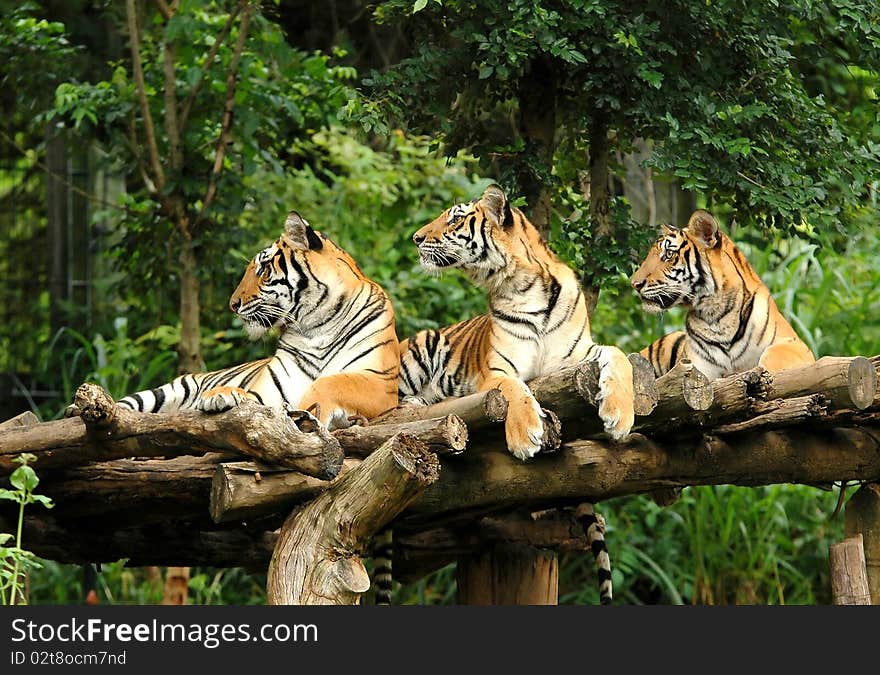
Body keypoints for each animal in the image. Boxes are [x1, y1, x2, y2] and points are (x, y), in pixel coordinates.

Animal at [113, 211, 398, 428]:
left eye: (263, 268)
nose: (232, 304)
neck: (316, 325)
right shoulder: (272, 388)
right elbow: (253, 398)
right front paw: (220, 394)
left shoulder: (380, 382)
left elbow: (330, 382)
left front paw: (309, 412)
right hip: (164, 392)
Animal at [398, 185, 632, 608]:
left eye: (455, 218)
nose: (416, 238)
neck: (522, 286)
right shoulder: (496, 371)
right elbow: (515, 390)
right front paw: (525, 435)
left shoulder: (578, 356)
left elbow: (618, 355)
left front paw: (620, 415)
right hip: (421, 347)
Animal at [628, 210, 816, 380]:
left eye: (669, 254)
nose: (634, 284)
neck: (715, 313)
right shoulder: (697, 367)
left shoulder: (796, 344)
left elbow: (773, 356)